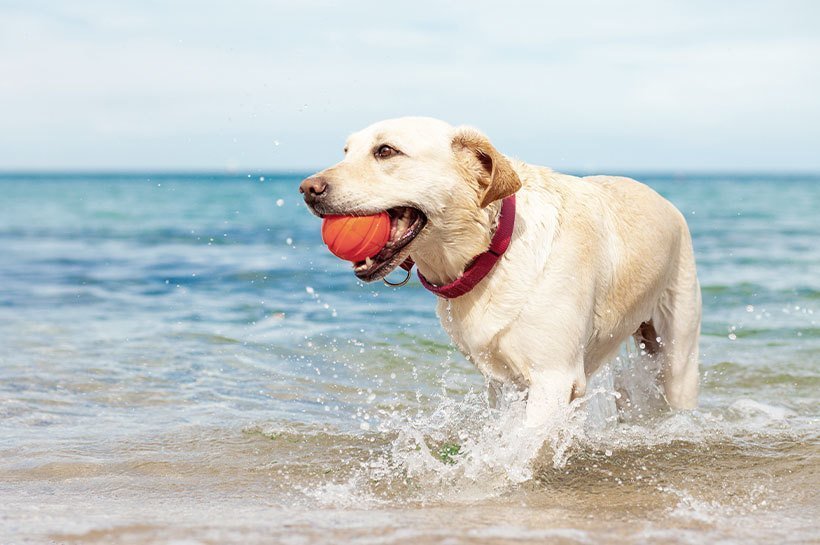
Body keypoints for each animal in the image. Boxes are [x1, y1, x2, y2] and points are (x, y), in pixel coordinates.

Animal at [298, 117, 700, 428]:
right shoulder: (502, 382)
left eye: (385, 151)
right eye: (346, 151)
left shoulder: (554, 377)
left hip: (677, 355)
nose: (307, 189)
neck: (491, 250)